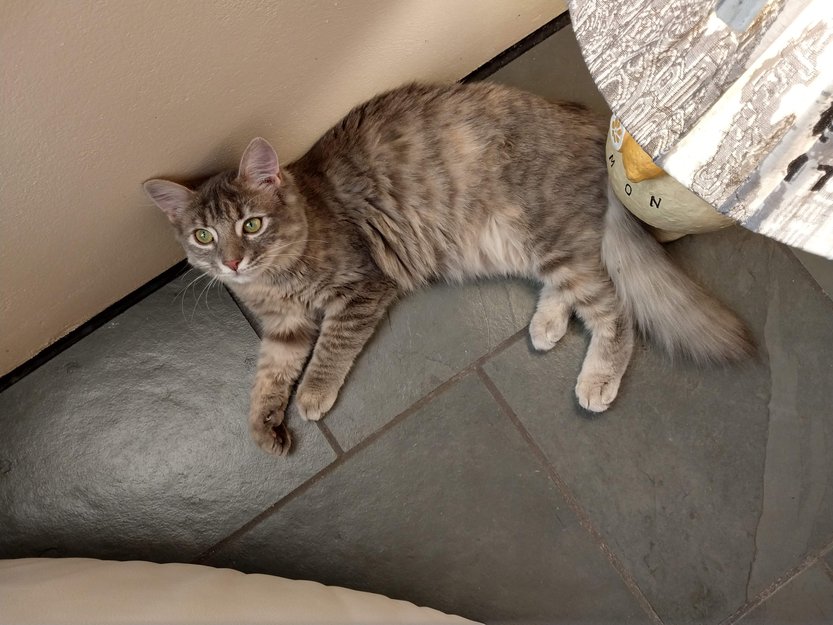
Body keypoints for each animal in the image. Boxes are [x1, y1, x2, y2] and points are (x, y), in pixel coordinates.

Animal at [144, 82, 753, 456]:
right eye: (203, 236)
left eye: (251, 225)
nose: (232, 262)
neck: (274, 280)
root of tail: (585, 118)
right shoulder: (282, 332)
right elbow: (266, 379)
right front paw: (265, 427)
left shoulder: (360, 289)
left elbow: (327, 353)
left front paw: (312, 396)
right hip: (526, 246)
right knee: (575, 289)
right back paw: (546, 326)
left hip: (545, 236)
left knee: (614, 307)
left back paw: (597, 378)